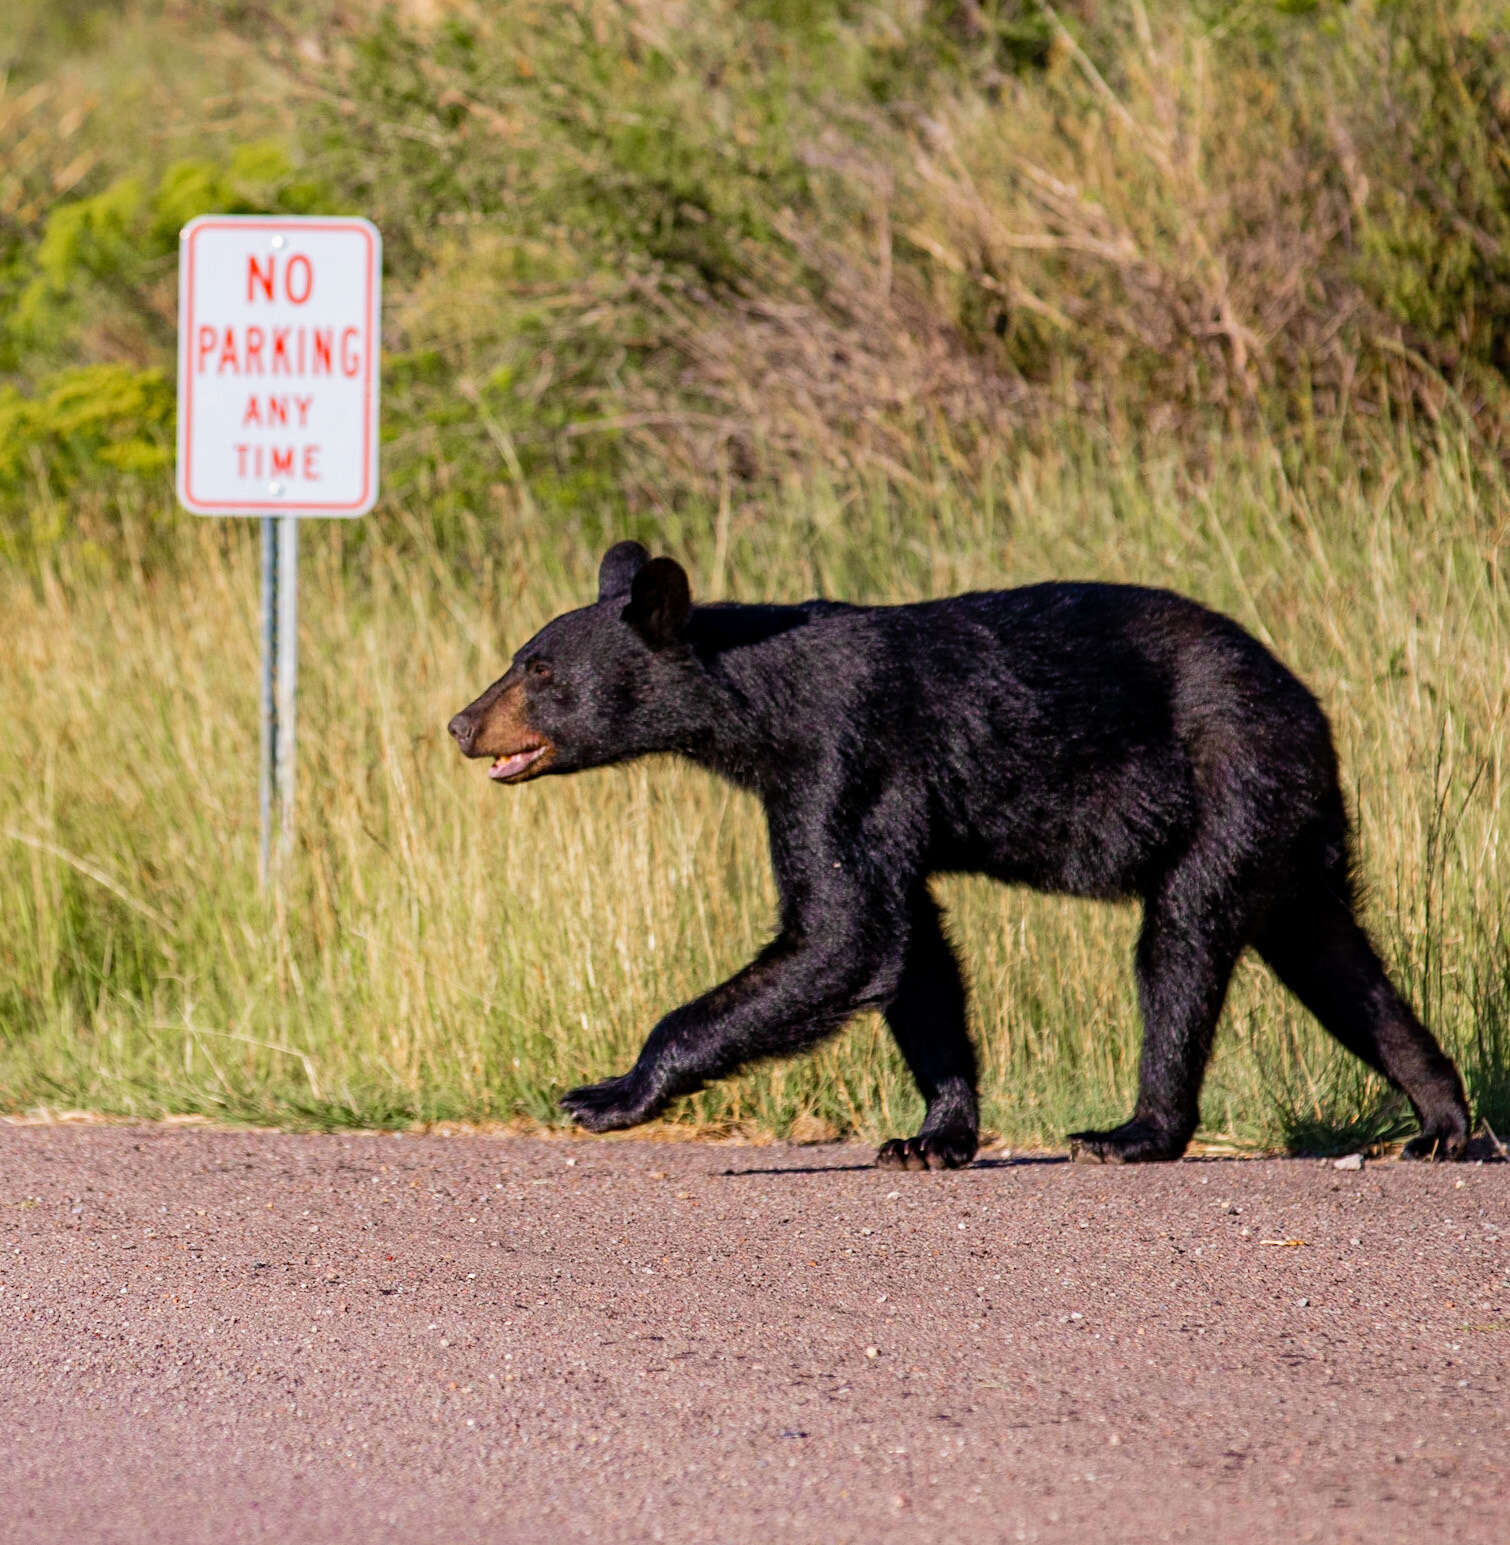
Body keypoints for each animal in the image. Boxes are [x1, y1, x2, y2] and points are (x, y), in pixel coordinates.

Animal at [451, 537, 1471, 1161]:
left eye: (539, 669)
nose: (462, 721)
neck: (762, 706)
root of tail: (1308, 703)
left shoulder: (846, 750)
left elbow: (843, 930)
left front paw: (608, 1091)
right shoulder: (833, 789)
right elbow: (907, 946)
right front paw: (933, 1136)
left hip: (1234, 774)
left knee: (1182, 938)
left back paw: (1134, 1129)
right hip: (1289, 828)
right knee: (1335, 957)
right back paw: (1445, 1120)